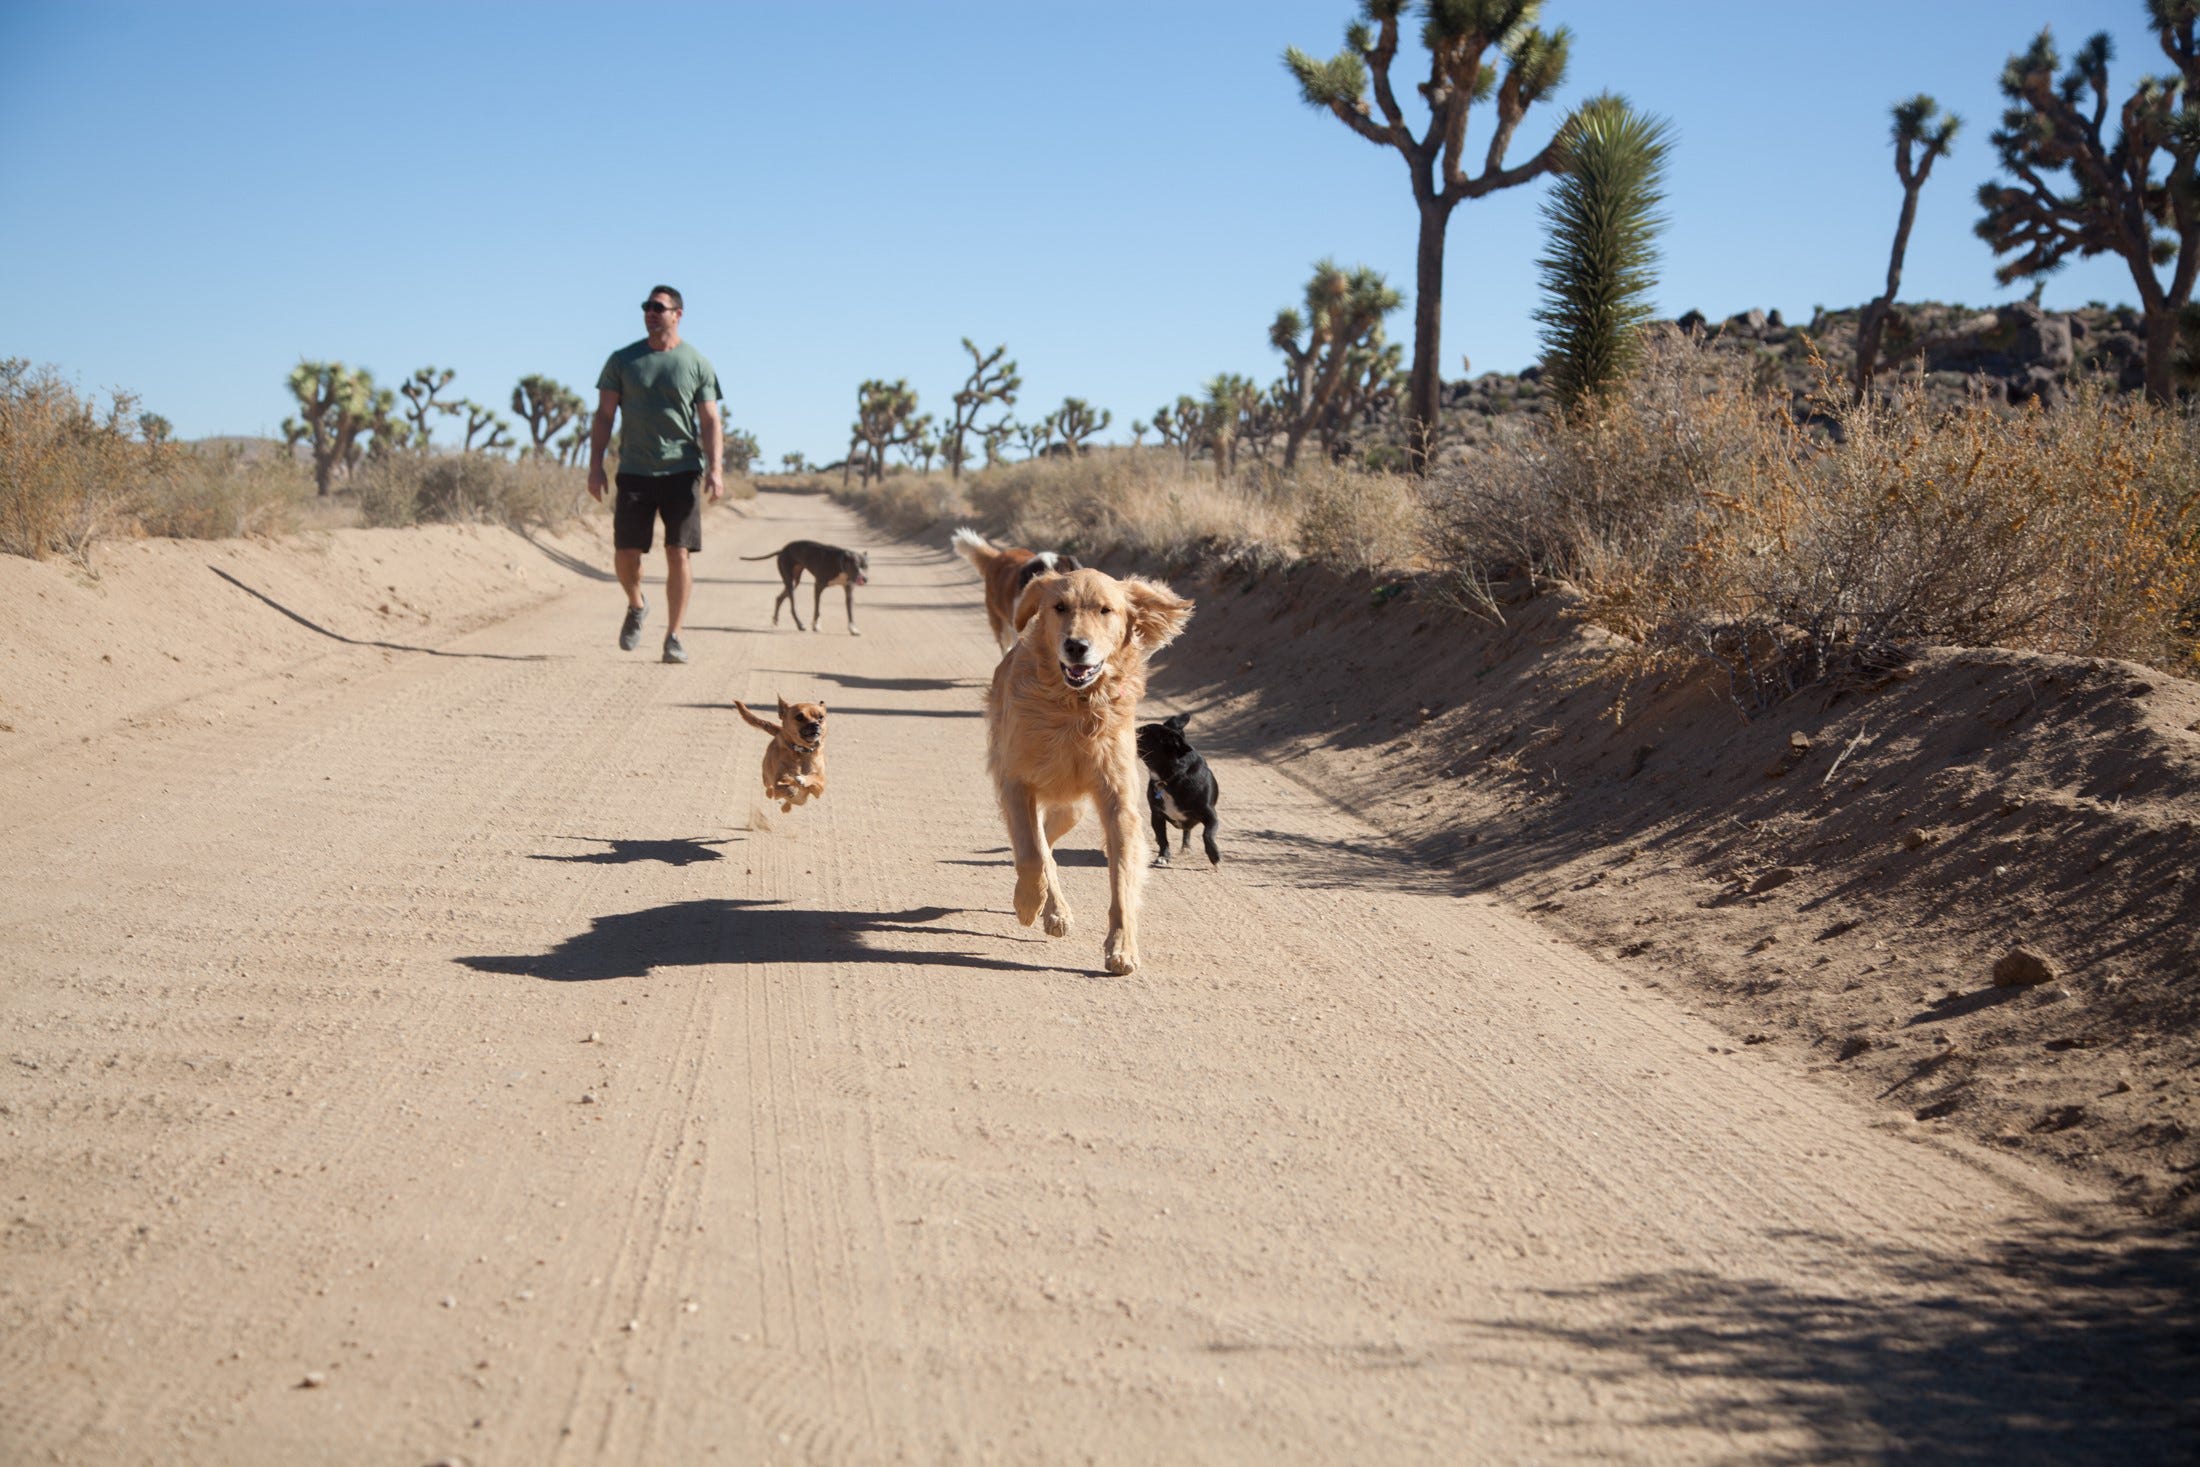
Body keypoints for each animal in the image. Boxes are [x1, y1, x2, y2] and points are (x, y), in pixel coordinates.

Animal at [743, 538, 871, 633]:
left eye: (866, 567)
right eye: (855, 566)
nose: (865, 579)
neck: (840, 562)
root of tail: (782, 550)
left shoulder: (849, 591)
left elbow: (850, 611)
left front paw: (853, 628)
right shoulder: (818, 587)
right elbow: (817, 609)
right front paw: (816, 625)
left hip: (794, 581)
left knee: (779, 598)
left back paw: (775, 619)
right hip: (790, 582)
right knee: (792, 606)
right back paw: (799, 624)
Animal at [985, 567, 1188, 976]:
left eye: (1105, 610)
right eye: (1060, 607)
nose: (1076, 646)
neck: (1076, 705)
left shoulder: (1118, 802)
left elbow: (1122, 879)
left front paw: (1122, 949)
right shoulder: (1016, 782)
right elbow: (1031, 855)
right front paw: (1027, 903)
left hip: (1071, 809)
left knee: (1048, 842)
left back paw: (1055, 910)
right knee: (1039, 849)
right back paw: (1048, 908)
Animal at [1135, 712, 1223, 866]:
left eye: (1142, 733)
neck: (1171, 779)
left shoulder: (1211, 816)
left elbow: (1207, 834)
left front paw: (1214, 855)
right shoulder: (1157, 815)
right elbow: (1162, 838)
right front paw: (1163, 856)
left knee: (1188, 831)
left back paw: (1187, 848)